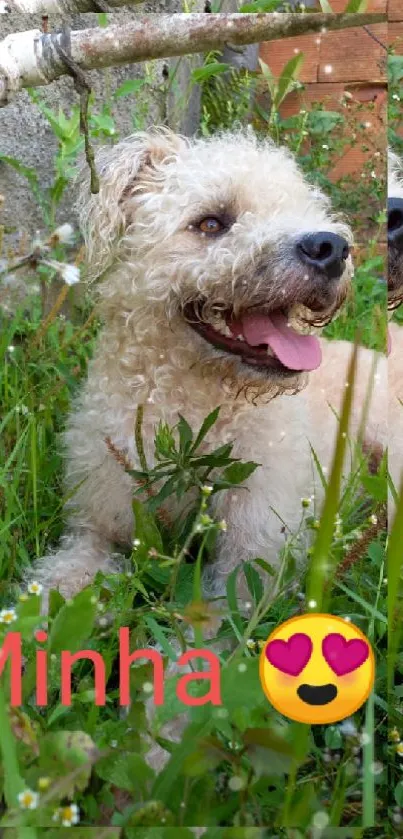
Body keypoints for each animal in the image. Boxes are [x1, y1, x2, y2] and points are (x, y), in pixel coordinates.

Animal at [33, 126, 386, 604]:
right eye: (212, 223)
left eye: (302, 206)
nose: (331, 248)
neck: (191, 406)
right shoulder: (97, 521)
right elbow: (64, 573)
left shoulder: (255, 559)